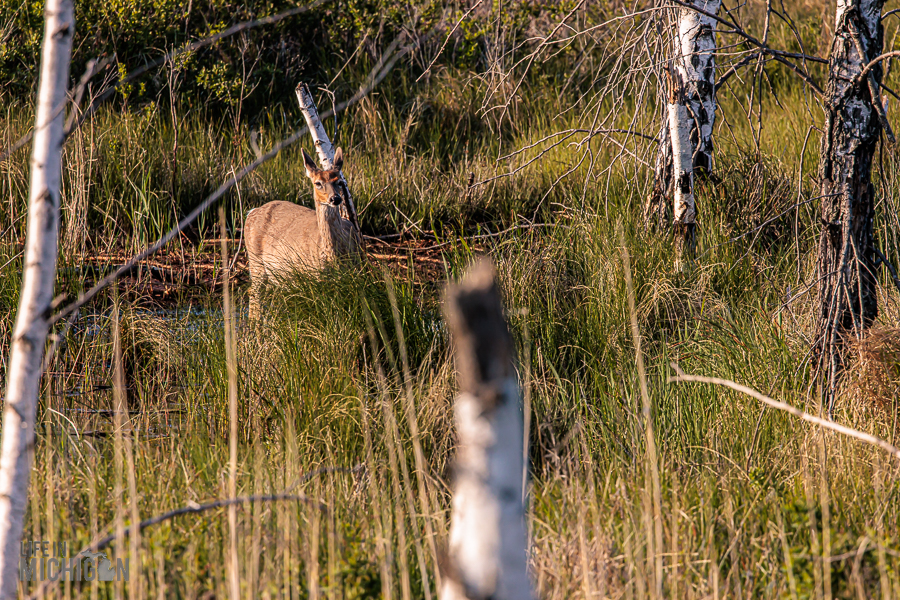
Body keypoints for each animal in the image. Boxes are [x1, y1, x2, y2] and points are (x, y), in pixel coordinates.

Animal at [246, 146, 362, 318]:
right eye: (318, 183)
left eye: (339, 182)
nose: (335, 199)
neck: (334, 254)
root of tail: (251, 212)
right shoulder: (314, 277)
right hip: (255, 262)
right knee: (254, 297)